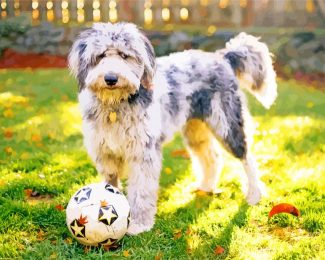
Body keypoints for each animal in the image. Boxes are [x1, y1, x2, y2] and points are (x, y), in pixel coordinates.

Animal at [67, 22, 276, 235]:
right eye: (100, 55)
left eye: (124, 55)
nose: (111, 78)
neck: (115, 106)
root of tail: (222, 57)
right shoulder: (105, 154)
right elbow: (111, 185)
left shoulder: (144, 153)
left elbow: (141, 191)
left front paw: (139, 224)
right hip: (195, 130)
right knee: (212, 158)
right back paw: (206, 186)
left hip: (228, 124)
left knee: (247, 157)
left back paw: (254, 194)